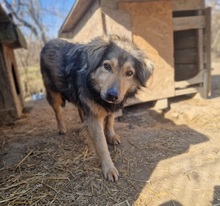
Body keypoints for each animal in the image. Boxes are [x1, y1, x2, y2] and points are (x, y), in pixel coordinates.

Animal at [40, 34, 153, 181]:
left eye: (129, 73)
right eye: (107, 66)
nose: (112, 95)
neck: (94, 87)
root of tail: (49, 42)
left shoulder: (111, 107)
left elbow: (110, 120)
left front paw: (111, 135)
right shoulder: (94, 117)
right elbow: (102, 145)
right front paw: (109, 168)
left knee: (79, 108)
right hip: (54, 94)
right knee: (58, 111)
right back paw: (62, 128)